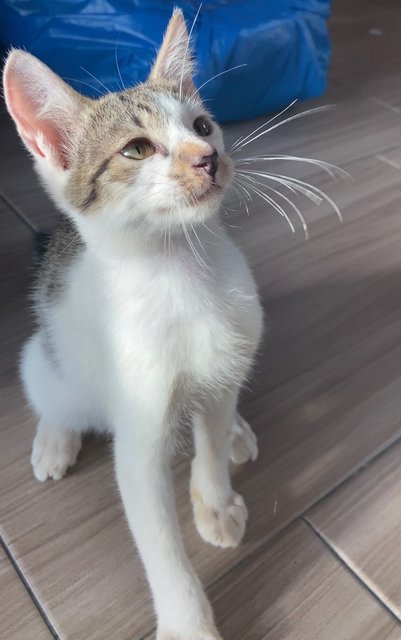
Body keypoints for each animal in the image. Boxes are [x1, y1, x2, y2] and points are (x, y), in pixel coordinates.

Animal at [3, 10, 262, 640]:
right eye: (137, 149)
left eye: (202, 125)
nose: (207, 156)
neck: (182, 275)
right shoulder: (139, 438)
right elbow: (157, 541)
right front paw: (188, 622)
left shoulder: (224, 359)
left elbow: (211, 435)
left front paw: (215, 500)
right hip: (48, 359)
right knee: (53, 394)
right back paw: (54, 439)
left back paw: (237, 430)